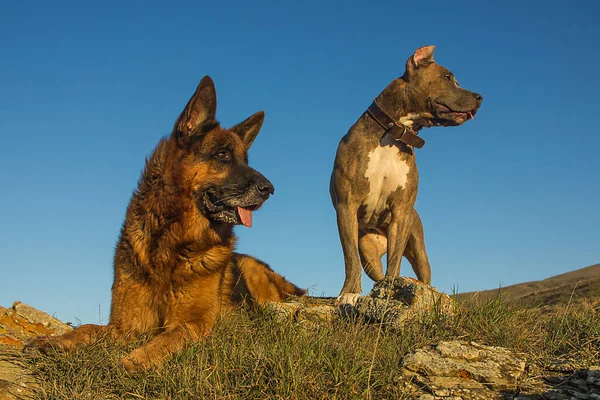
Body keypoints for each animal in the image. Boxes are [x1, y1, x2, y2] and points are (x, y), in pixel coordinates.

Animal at [24, 76, 304, 372]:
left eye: (245, 160)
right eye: (222, 155)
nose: (269, 189)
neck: (173, 242)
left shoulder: (196, 322)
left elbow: (172, 336)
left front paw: (136, 359)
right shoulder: (126, 325)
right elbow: (88, 328)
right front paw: (53, 341)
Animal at [330, 46, 480, 304]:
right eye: (447, 77)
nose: (480, 97)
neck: (393, 133)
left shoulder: (401, 211)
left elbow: (395, 260)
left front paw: (392, 288)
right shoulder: (346, 204)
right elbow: (350, 257)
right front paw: (349, 293)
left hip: (418, 249)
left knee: (418, 270)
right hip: (369, 254)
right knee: (370, 268)